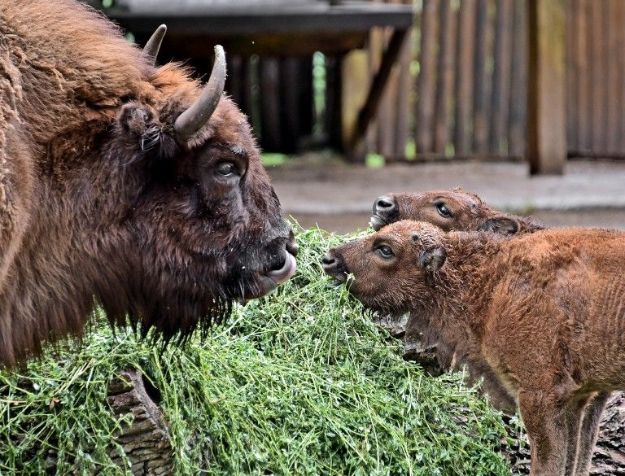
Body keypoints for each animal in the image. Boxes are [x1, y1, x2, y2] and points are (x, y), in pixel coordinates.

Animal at [322, 221, 624, 474]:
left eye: (385, 249)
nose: (329, 259)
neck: (491, 283)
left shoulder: (540, 394)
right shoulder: (580, 398)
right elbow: (577, 459)